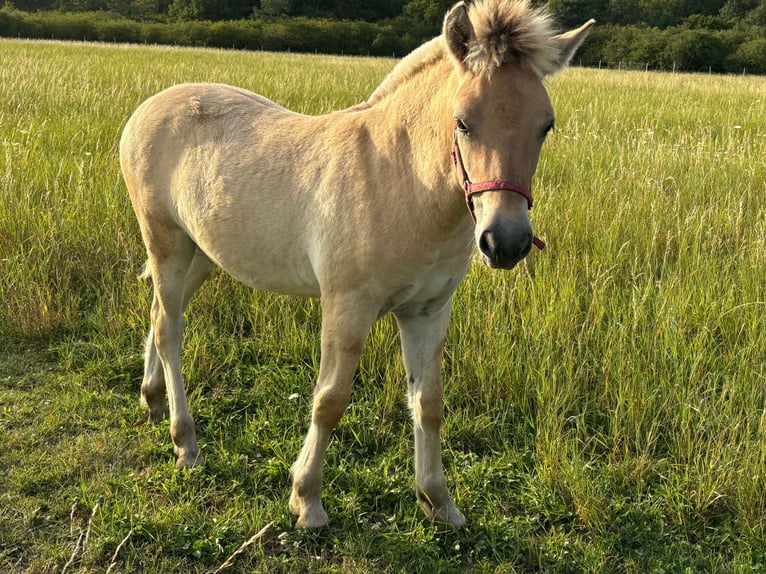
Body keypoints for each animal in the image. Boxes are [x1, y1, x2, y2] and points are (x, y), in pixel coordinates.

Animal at [121, 0, 592, 528]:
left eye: (545, 125)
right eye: (463, 122)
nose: (505, 242)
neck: (402, 181)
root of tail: (149, 106)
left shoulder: (428, 311)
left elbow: (428, 402)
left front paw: (438, 501)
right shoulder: (347, 306)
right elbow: (330, 400)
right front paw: (307, 499)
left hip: (200, 254)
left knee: (160, 315)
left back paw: (153, 402)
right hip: (167, 245)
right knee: (170, 329)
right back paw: (186, 443)